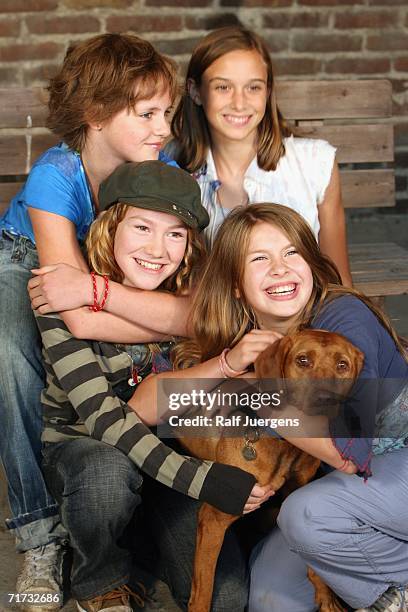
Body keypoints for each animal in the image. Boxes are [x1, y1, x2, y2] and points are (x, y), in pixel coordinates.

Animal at [178, 330, 364, 612]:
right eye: (302, 360)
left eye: (342, 365)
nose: (325, 399)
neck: (286, 444)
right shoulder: (213, 518)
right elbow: (204, 588)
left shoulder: (295, 497)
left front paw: (325, 596)